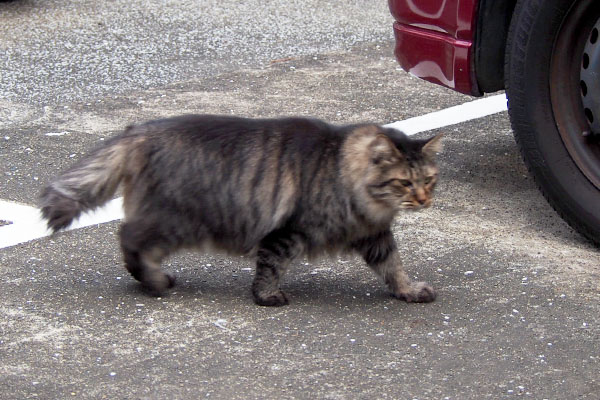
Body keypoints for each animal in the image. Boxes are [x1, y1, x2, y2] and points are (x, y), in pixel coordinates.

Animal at [37, 114, 440, 308]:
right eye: (405, 183)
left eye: (429, 180)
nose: (423, 200)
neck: (341, 168)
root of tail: (140, 132)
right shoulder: (286, 232)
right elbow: (270, 267)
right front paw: (266, 297)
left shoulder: (374, 234)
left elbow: (393, 266)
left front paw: (408, 291)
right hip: (175, 221)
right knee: (128, 237)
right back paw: (155, 282)